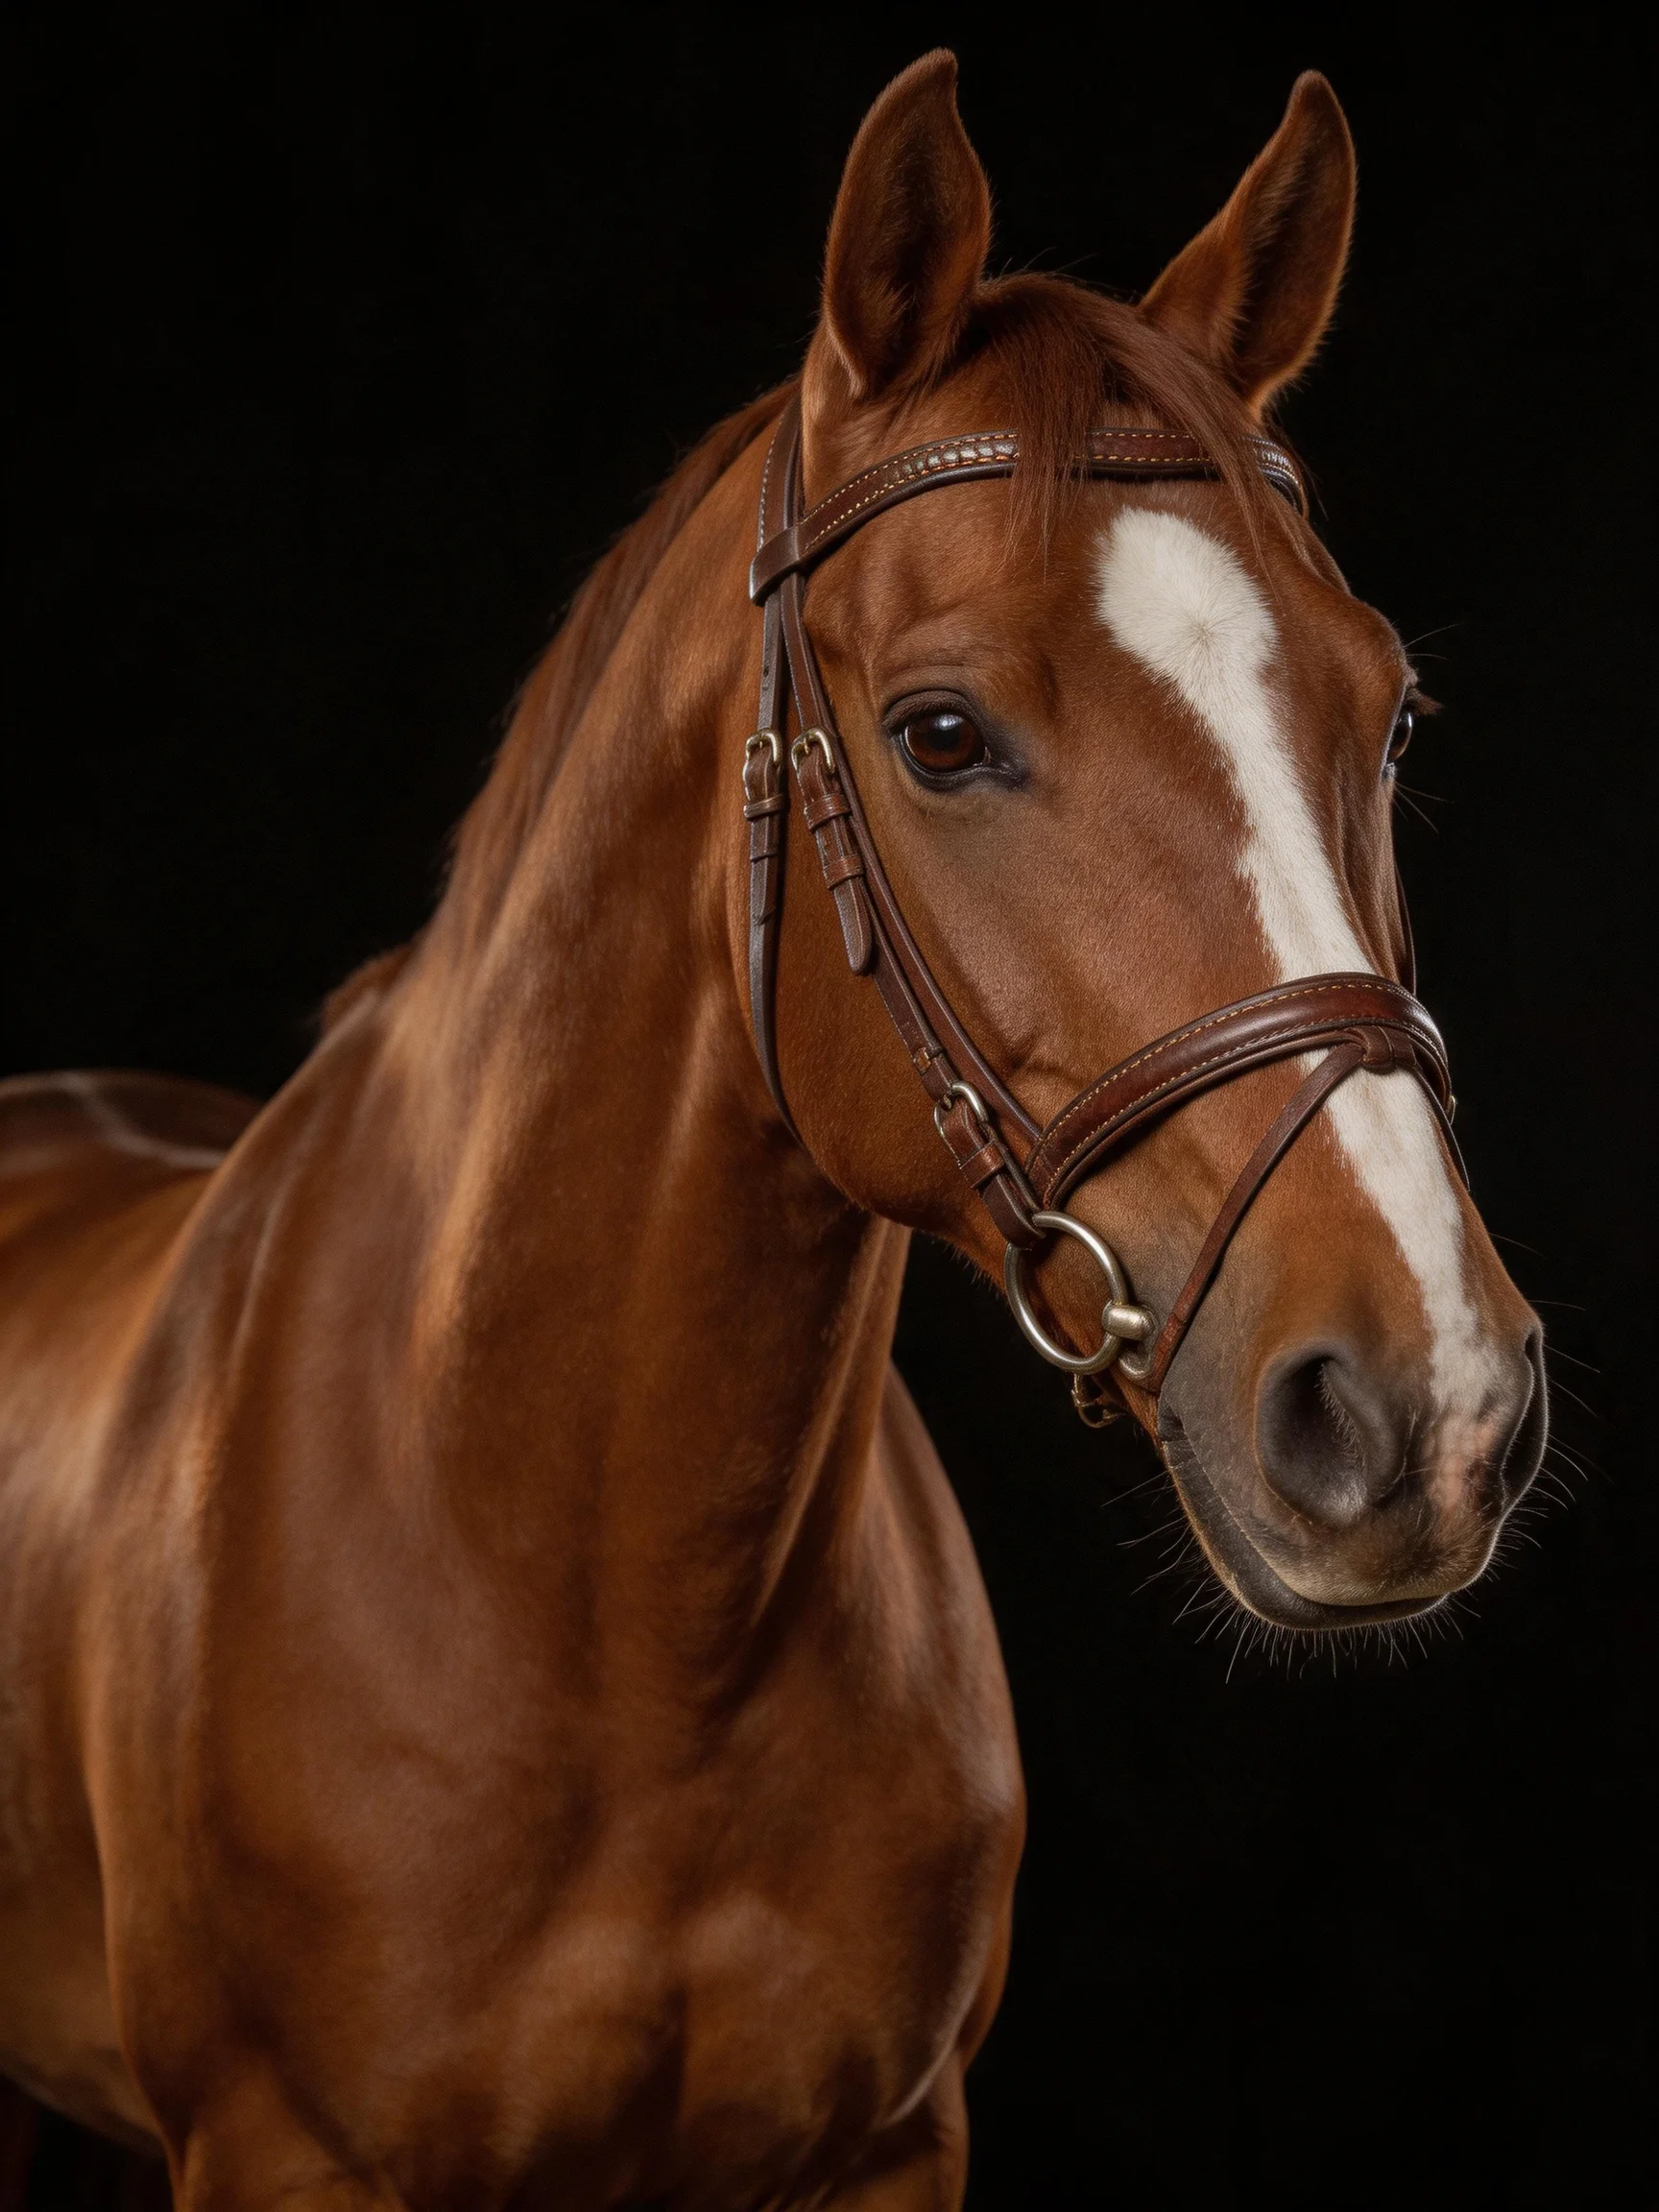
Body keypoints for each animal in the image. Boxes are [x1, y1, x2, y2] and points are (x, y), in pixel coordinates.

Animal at [0, 52, 1545, 2209]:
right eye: (940, 732)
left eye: (1391, 715)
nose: (1427, 1402)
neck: (611, 1620)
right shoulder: (288, 2154)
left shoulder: (885, 2148)